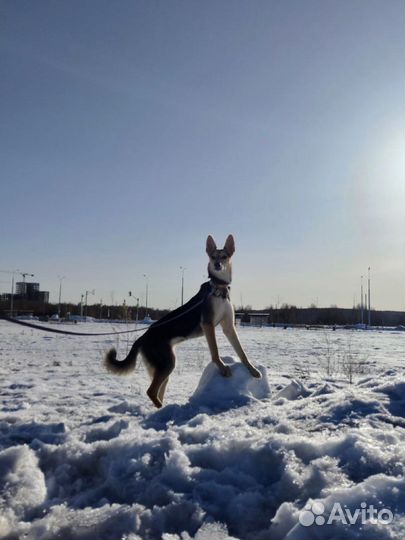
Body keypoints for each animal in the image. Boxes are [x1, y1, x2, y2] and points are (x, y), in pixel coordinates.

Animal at [104, 234, 260, 408]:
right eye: (213, 257)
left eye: (224, 256)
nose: (217, 264)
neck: (219, 289)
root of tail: (143, 337)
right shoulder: (208, 325)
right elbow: (215, 352)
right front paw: (223, 368)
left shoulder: (229, 327)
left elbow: (241, 352)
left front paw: (252, 369)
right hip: (167, 363)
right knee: (151, 391)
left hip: (163, 367)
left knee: (157, 390)